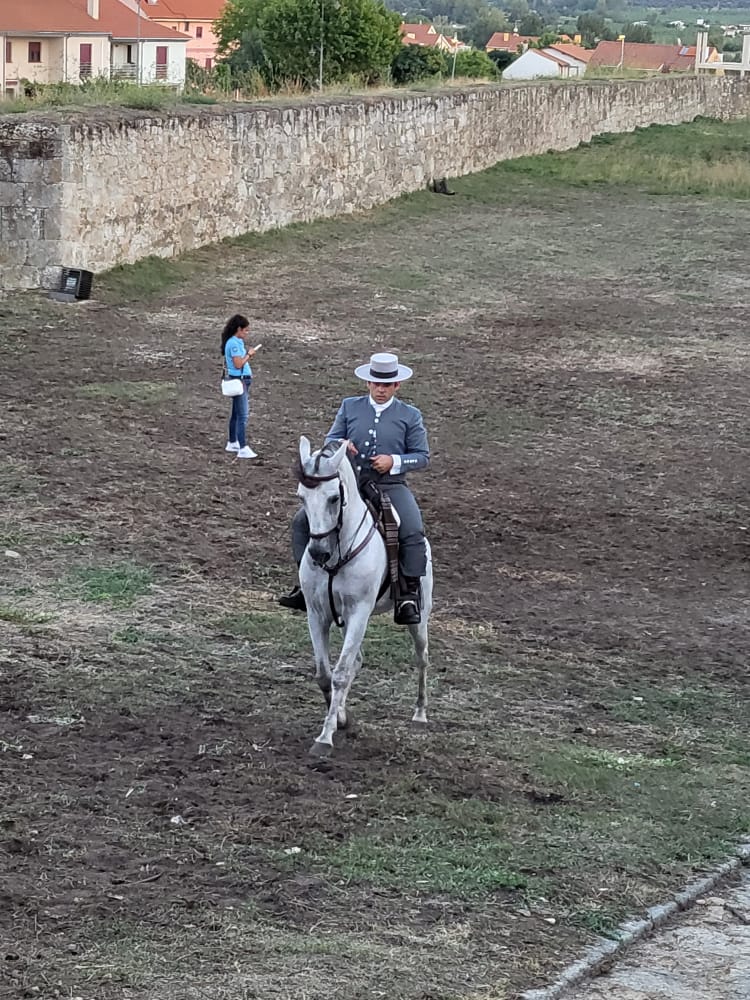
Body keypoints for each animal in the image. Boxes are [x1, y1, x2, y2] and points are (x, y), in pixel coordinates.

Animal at [296, 438, 432, 756]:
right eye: (301, 498)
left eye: (334, 498)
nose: (318, 554)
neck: (339, 551)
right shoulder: (317, 613)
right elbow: (325, 674)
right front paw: (341, 718)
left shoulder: (359, 613)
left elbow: (341, 673)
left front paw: (325, 738)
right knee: (356, 660)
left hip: (419, 620)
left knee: (421, 658)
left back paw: (420, 713)